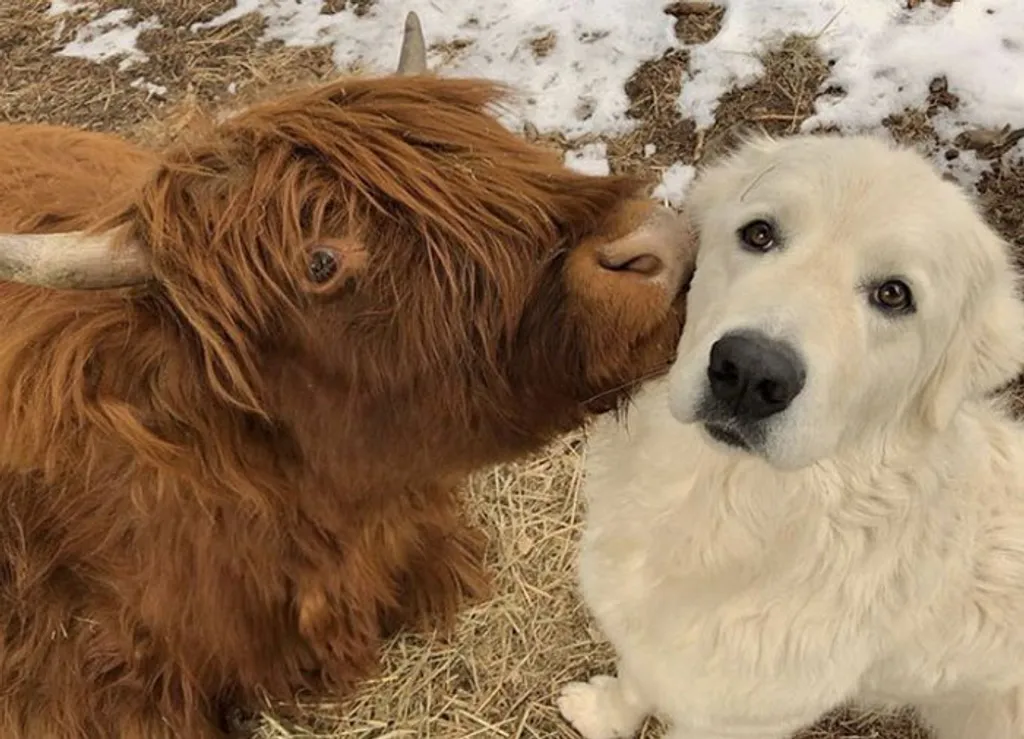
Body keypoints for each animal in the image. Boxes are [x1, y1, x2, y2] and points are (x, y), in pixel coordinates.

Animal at [561, 134, 1024, 736]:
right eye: (759, 234)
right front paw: (602, 716)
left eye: (894, 295)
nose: (750, 374)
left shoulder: (733, 720)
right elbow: (633, 679)